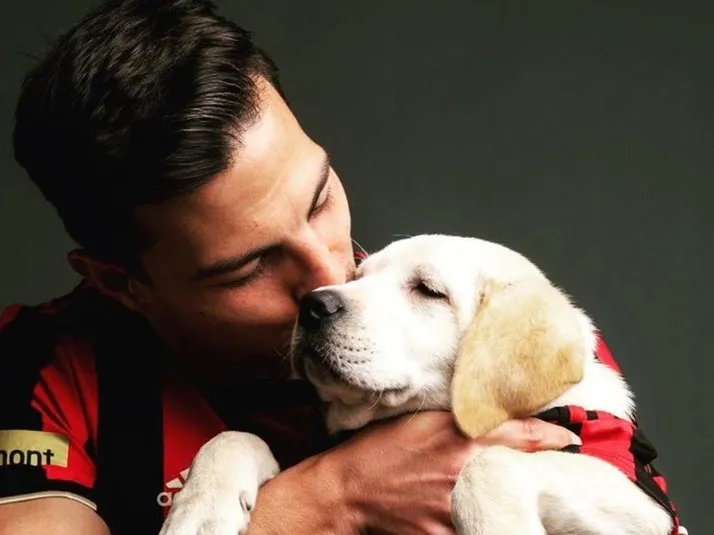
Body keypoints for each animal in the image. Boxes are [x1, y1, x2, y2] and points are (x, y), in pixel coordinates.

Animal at [159, 234, 684, 535]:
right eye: (356, 275)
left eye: (429, 292)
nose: (312, 305)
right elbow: (234, 437)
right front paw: (197, 509)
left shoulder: (645, 507)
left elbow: (486, 463)